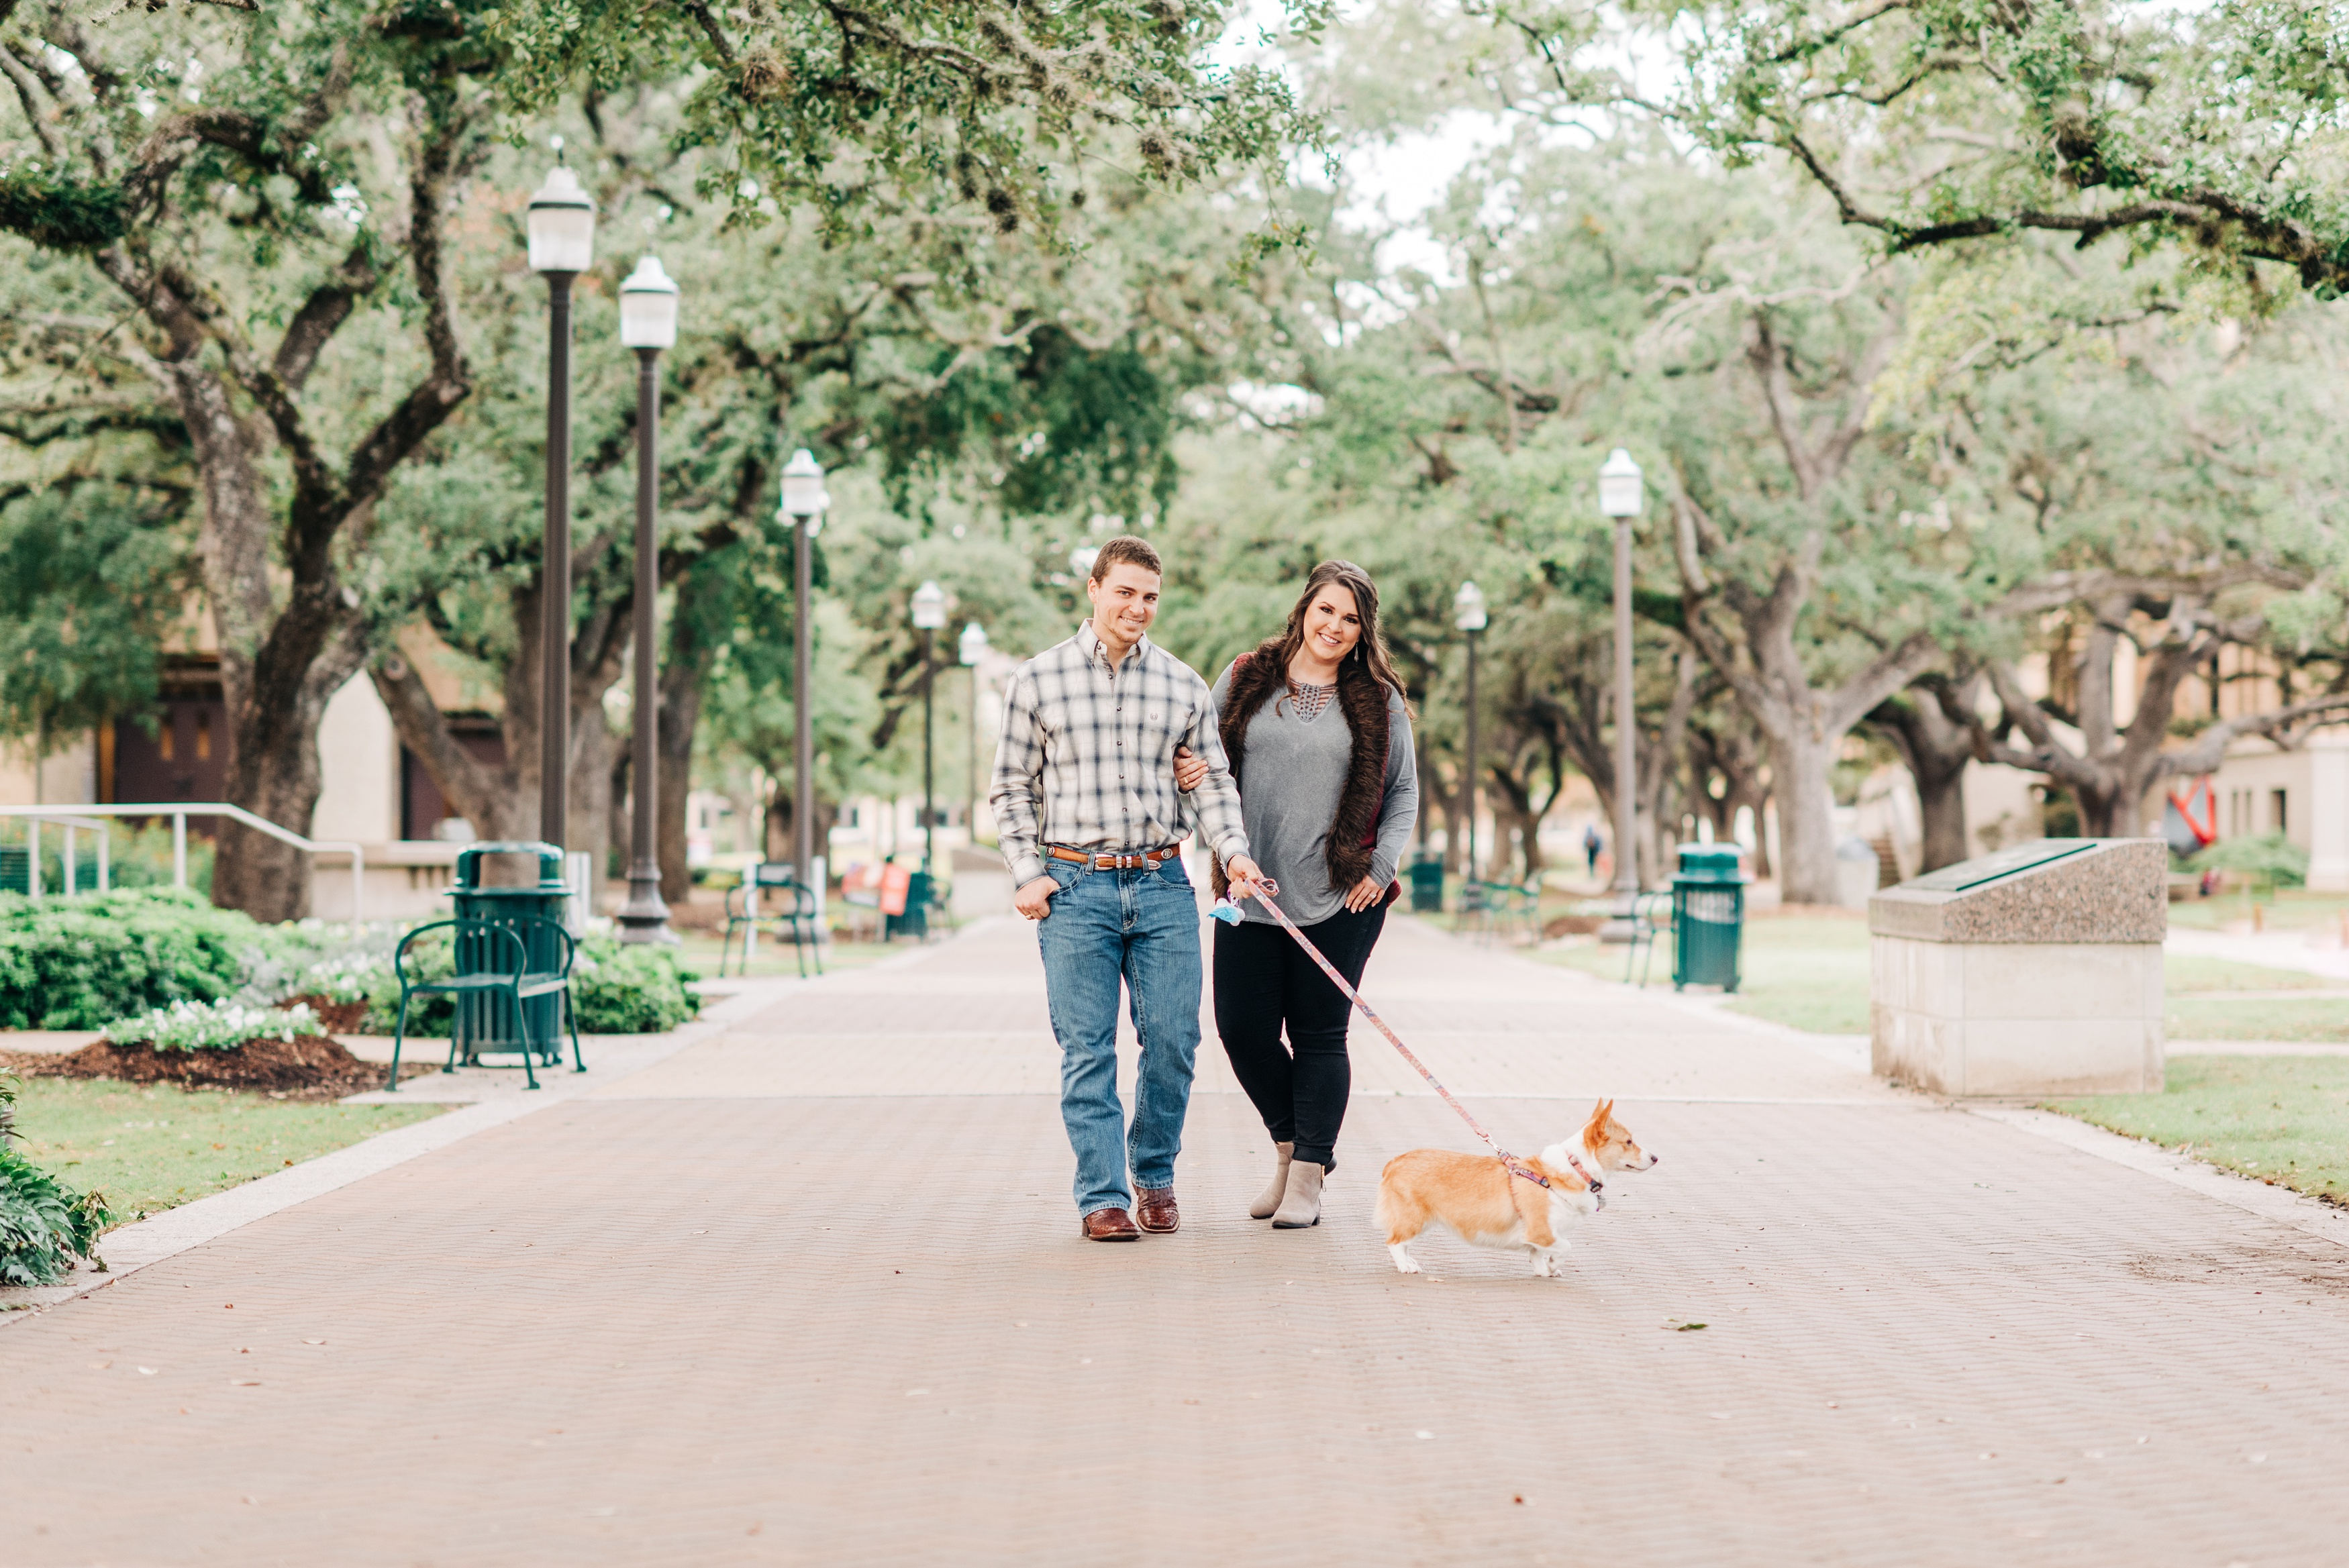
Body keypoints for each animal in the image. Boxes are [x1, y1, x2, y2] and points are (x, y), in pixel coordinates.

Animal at [1372, 1098, 1654, 1277]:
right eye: (1629, 1142)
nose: (1656, 1158)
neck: (1577, 1168)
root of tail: (1394, 1161)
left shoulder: (1539, 1238)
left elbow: (1536, 1256)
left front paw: (1544, 1272)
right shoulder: (1542, 1231)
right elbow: (1565, 1247)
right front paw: (1552, 1266)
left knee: (1403, 1243)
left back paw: (1409, 1261)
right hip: (1414, 1218)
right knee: (1394, 1242)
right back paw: (1406, 1266)